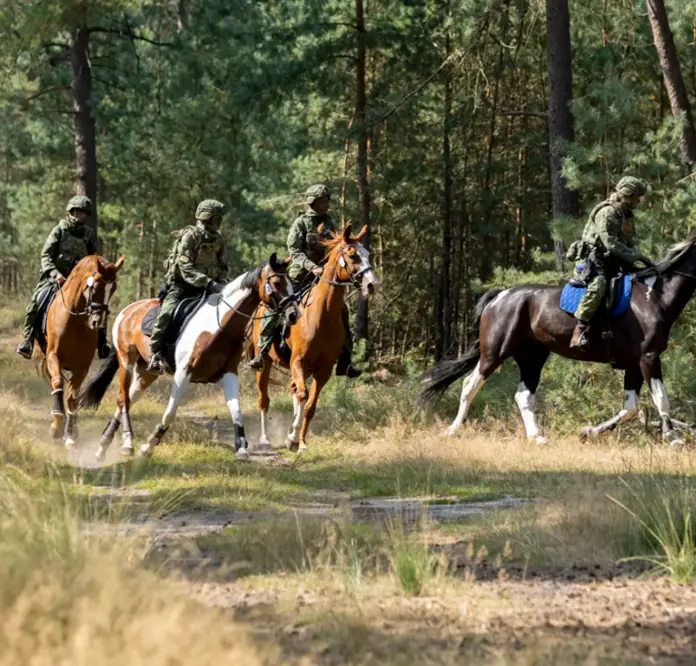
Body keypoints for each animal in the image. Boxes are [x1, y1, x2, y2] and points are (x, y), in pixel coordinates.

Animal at [42, 254, 125, 448]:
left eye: (113, 288)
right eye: (95, 285)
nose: (97, 322)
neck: (75, 321)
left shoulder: (82, 367)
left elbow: (73, 399)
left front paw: (69, 434)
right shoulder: (52, 356)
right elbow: (58, 383)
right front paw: (57, 424)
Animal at [80, 254, 299, 461]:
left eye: (291, 283)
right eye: (277, 283)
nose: (293, 314)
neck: (220, 327)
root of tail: (127, 310)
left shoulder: (229, 374)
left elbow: (237, 412)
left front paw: (242, 449)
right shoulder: (183, 373)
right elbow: (169, 413)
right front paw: (148, 446)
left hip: (146, 372)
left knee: (129, 398)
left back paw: (103, 446)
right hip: (126, 360)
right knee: (122, 399)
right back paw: (127, 443)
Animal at [249, 224, 380, 455]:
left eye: (368, 254)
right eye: (352, 255)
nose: (373, 284)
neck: (322, 315)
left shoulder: (323, 369)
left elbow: (310, 405)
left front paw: (299, 442)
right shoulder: (298, 362)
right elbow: (303, 396)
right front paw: (292, 436)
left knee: (294, 390)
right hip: (265, 364)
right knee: (264, 399)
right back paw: (265, 439)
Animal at [420, 232, 696, 446]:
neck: (654, 297)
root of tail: (500, 296)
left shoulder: (634, 363)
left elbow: (630, 408)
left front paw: (588, 431)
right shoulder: (648, 357)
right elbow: (661, 398)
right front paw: (673, 438)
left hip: (532, 357)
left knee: (523, 395)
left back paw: (537, 437)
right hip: (495, 351)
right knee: (470, 384)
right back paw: (453, 430)